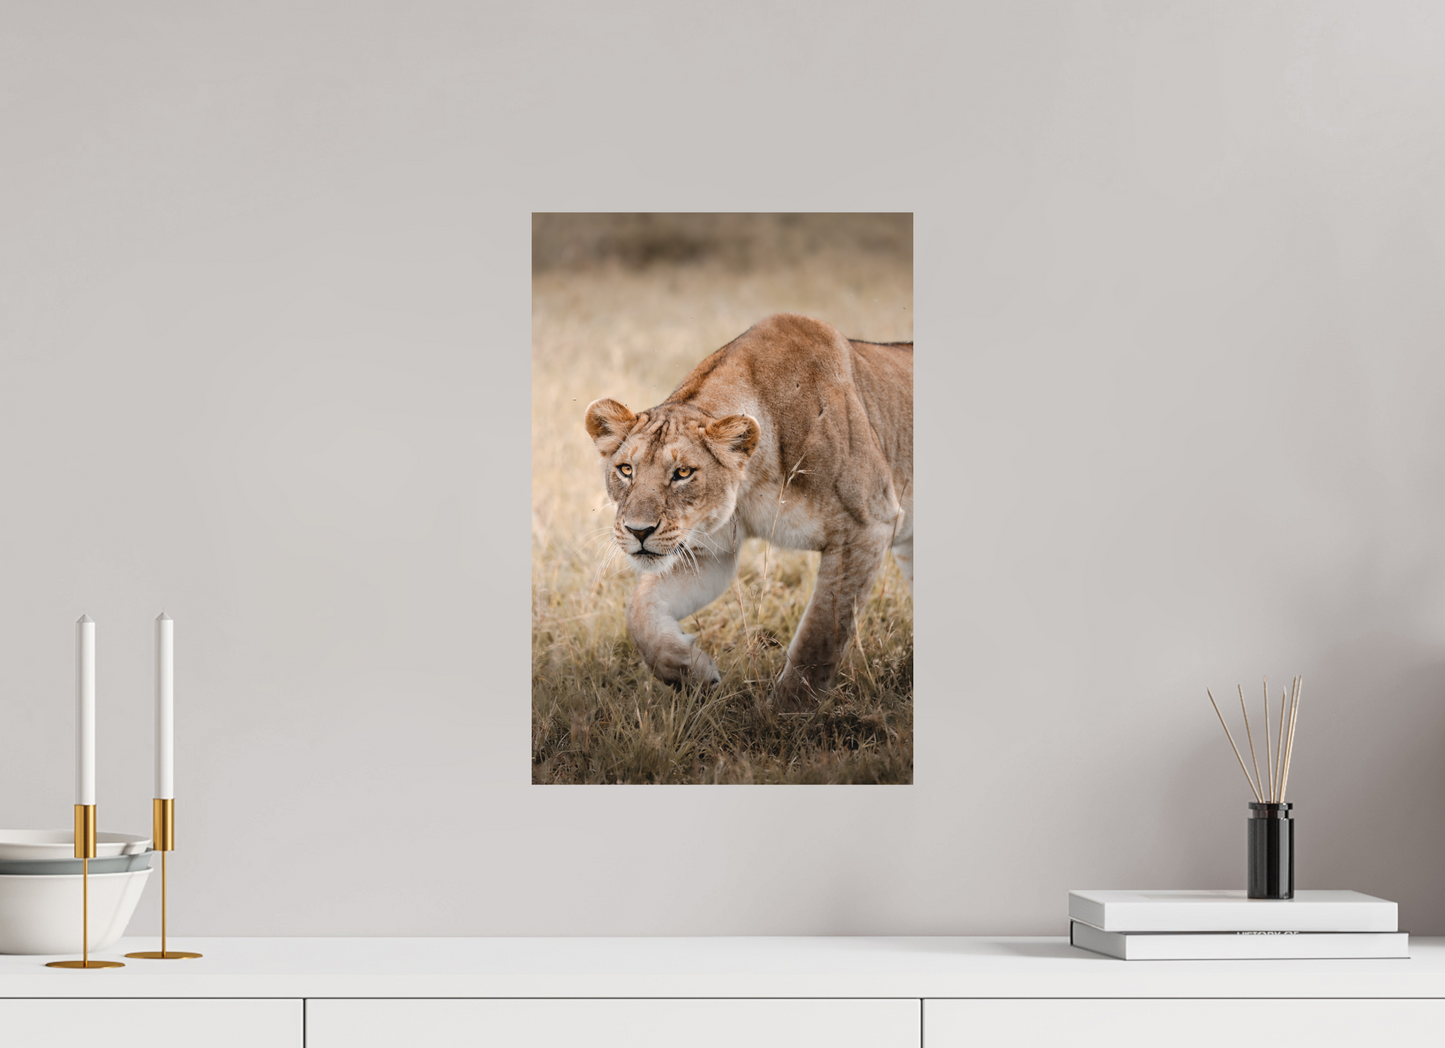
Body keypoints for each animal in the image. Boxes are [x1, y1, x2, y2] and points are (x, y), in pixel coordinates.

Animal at [584, 313, 912, 708]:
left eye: (682, 474)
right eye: (625, 470)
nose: (638, 531)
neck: (752, 483)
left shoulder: (868, 527)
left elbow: (821, 633)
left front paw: (787, 711)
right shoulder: (708, 550)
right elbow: (639, 613)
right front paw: (692, 672)